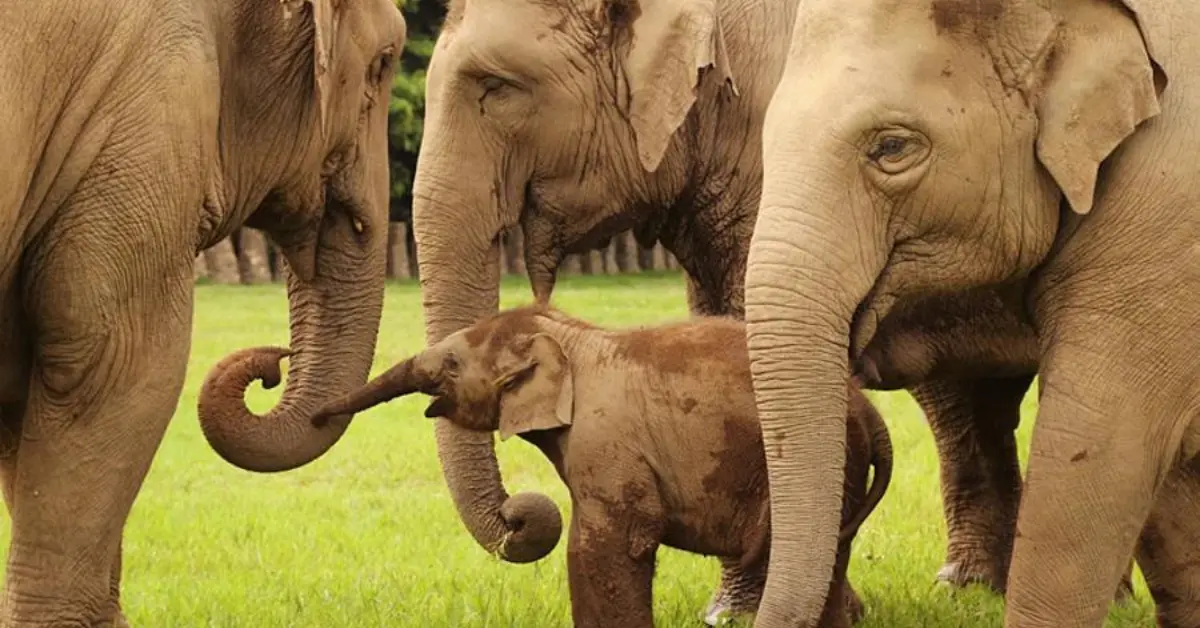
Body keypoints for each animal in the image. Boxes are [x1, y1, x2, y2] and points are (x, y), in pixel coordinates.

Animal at [314, 307, 888, 624]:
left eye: (452, 365)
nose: (318, 415)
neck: (568, 336)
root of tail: (867, 409)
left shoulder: (607, 439)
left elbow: (611, 541)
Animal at [412, 0, 1051, 605]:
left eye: (497, 87)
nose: (522, 515)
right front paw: (735, 608)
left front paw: (740, 612)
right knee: (966, 403)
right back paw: (969, 588)